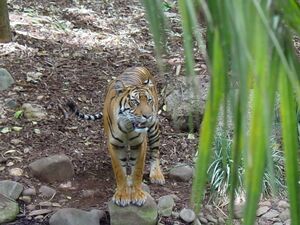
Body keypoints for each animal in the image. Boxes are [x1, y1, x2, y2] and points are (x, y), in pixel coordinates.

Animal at [66, 66, 165, 206]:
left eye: (149, 100)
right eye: (135, 102)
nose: (148, 116)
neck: (128, 126)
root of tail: (139, 66)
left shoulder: (140, 144)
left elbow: (138, 170)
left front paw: (137, 194)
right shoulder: (114, 145)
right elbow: (119, 170)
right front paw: (122, 195)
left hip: (154, 129)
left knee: (155, 150)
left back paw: (156, 175)